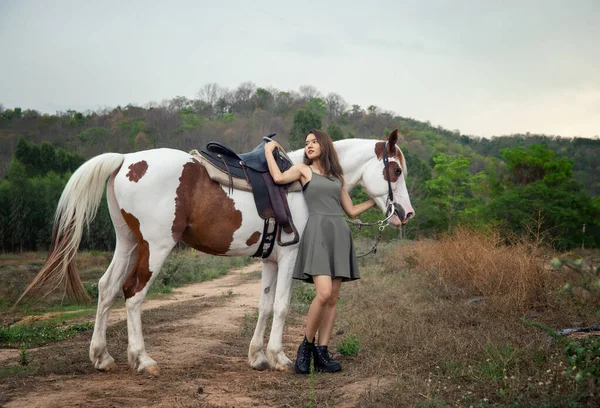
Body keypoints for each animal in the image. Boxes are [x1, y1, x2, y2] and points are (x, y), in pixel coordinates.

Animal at [17, 129, 412, 374]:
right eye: (394, 170)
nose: (405, 214)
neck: (300, 183)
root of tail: (126, 159)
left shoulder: (270, 261)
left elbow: (265, 306)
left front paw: (257, 357)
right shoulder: (288, 259)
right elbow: (283, 307)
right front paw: (280, 358)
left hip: (128, 243)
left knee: (106, 288)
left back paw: (101, 357)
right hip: (155, 247)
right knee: (133, 294)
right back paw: (143, 360)